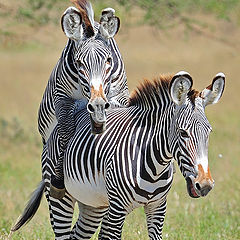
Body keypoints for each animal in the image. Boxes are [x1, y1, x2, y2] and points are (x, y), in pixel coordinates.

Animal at [11, 70, 225, 239]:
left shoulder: (157, 207)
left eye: (209, 132)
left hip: (93, 205)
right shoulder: (117, 210)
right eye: (183, 133)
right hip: (59, 198)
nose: (205, 185)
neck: (154, 165)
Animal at [38, 0, 129, 199]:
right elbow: (65, 133)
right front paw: (58, 180)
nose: (98, 106)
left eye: (108, 61)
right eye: (79, 63)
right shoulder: (63, 98)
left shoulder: (120, 95)